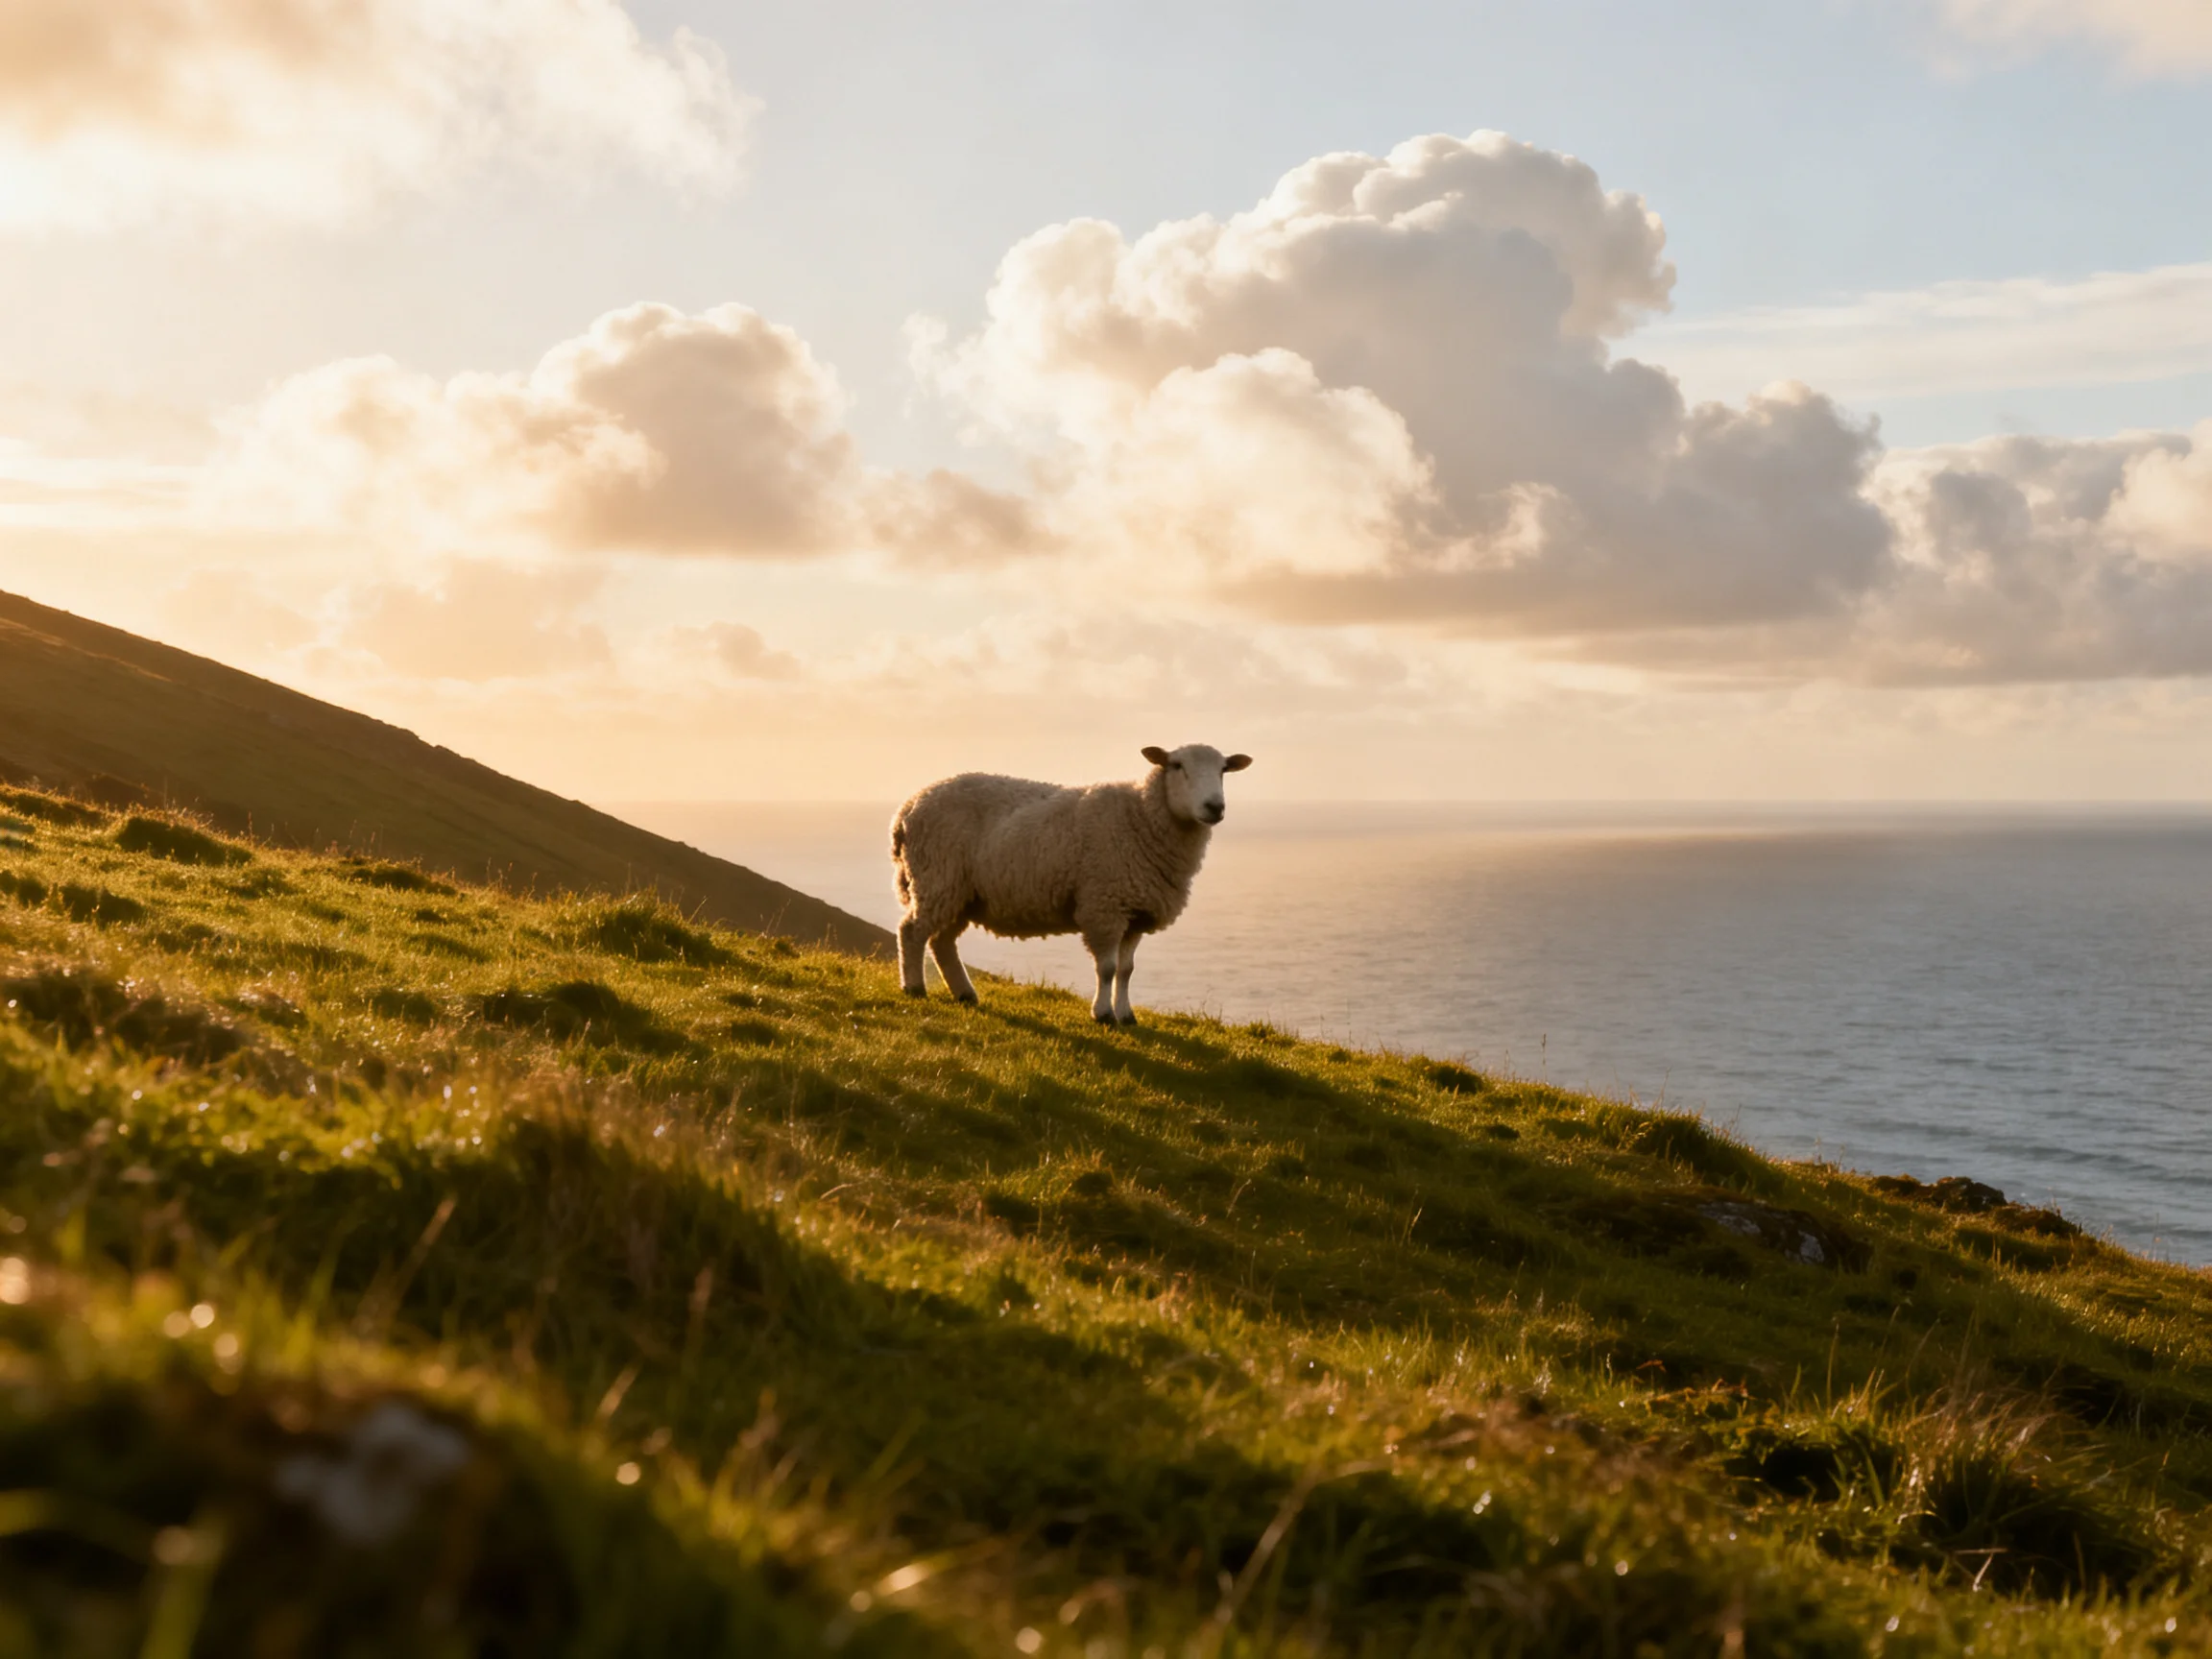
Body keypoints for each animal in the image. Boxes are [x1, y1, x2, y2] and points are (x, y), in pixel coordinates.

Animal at [890, 743, 1252, 1024]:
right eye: (1177, 765)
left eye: (1224, 769)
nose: (1214, 807)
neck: (1142, 817)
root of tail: (907, 808)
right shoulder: (1104, 907)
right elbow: (1107, 968)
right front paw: (1103, 1014)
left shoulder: (1134, 912)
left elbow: (1126, 970)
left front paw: (1127, 1016)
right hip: (936, 878)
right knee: (912, 932)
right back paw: (914, 988)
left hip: (961, 892)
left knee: (942, 942)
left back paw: (965, 994)